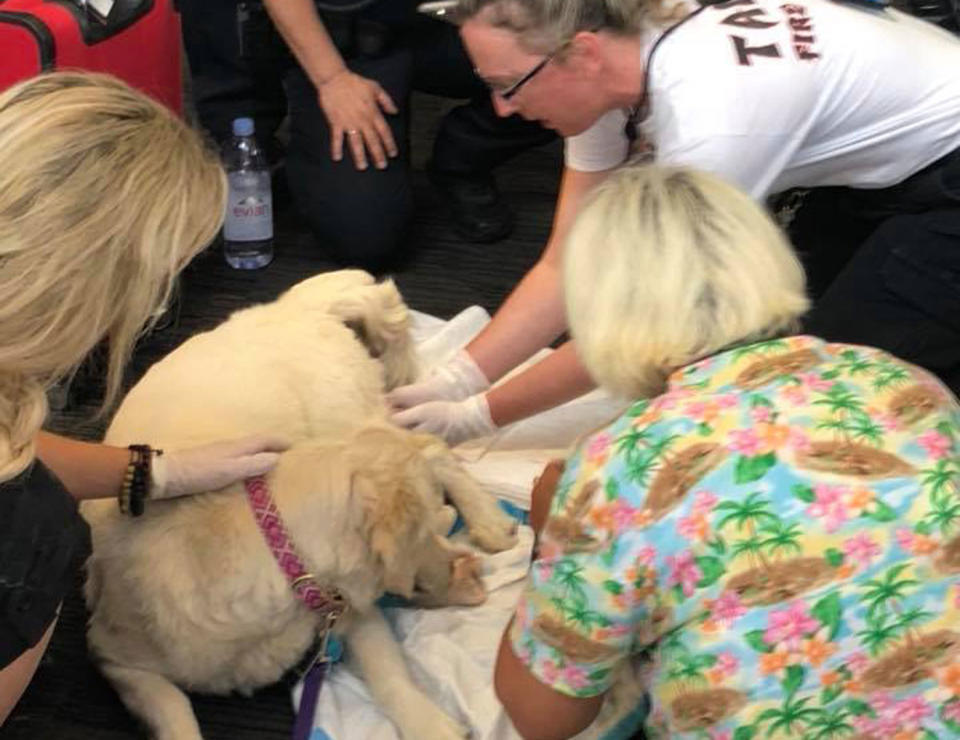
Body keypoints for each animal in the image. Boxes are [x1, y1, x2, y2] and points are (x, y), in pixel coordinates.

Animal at [81, 272, 516, 740]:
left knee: (432, 446)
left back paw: (487, 519)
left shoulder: (342, 603)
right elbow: (176, 712)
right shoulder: (115, 656)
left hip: (350, 415)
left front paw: (427, 723)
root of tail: (293, 306)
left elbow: (389, 674)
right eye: (417, 538)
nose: (462, 567)